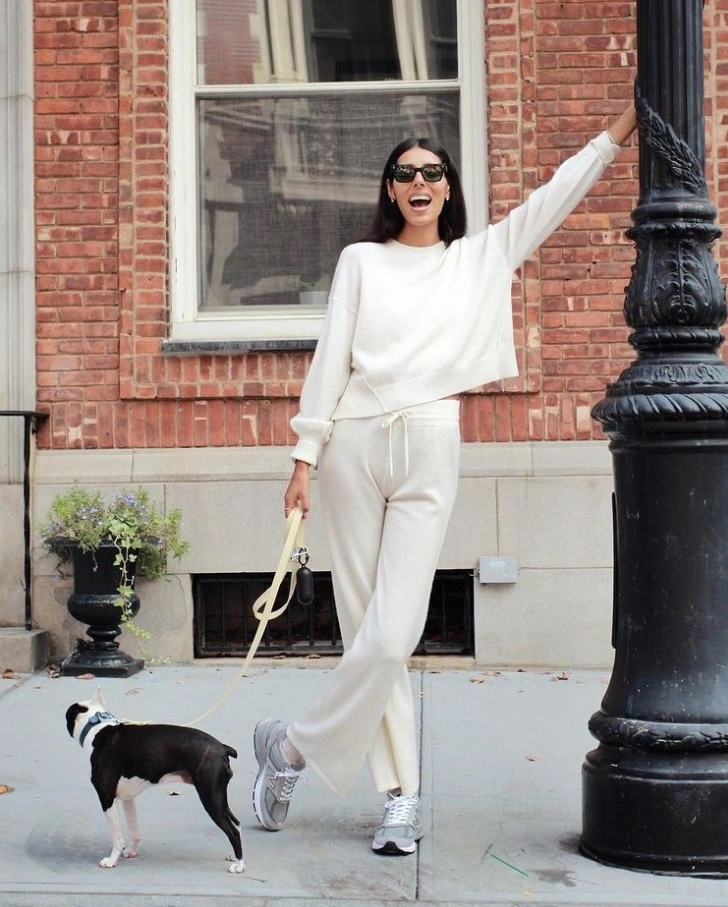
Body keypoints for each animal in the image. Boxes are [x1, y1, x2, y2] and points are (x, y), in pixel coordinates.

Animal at [65, 690, 244, 873]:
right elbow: (133, 829)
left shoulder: (106, 798)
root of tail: (222, 748)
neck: (98, 729)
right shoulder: (128, 799)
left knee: (233, 831)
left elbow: (117, 837)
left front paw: (111, 860)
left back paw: (239, 865)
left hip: (210, 797)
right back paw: (234, 856)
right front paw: (131, 851)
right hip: (219, 797)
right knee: (236, 824)